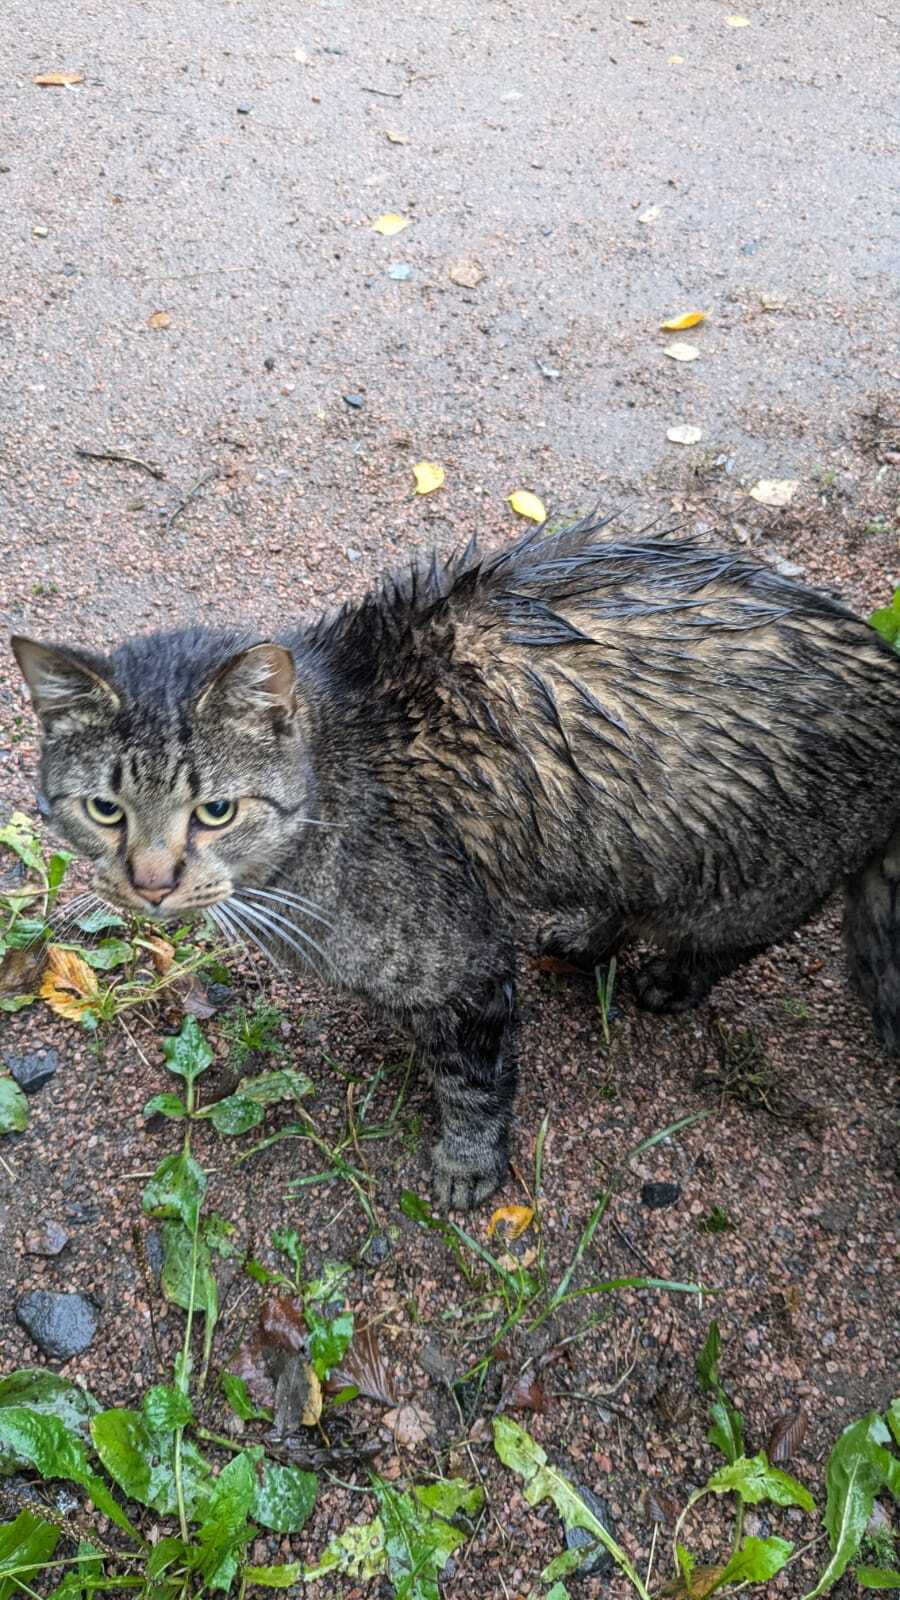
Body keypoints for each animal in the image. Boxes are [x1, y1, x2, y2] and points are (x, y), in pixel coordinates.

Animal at [12, 518, 896, 1203]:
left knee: (738, 935)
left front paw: (468, 1160)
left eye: (215, 812)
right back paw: (584, 934)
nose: (151, 885)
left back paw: (670, 978)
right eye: (105, 810)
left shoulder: (463, 966)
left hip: (743, 877)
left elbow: (473, 1078)